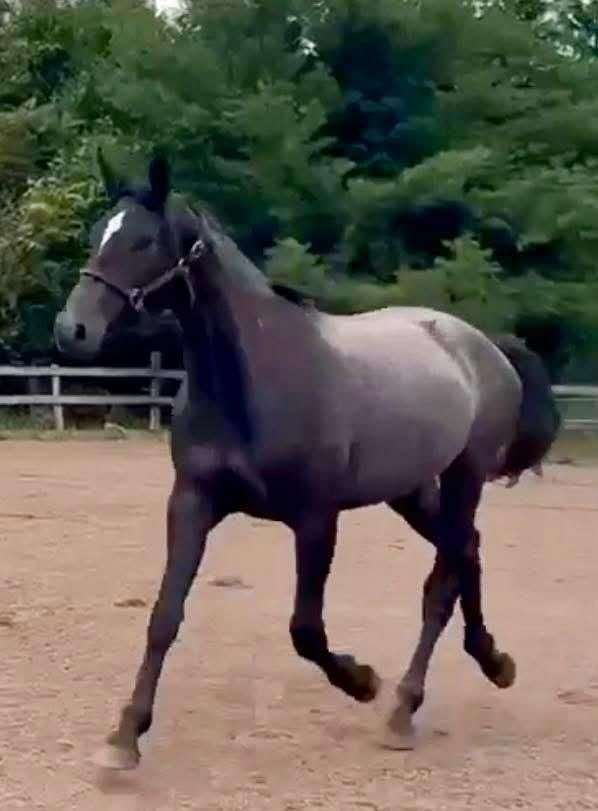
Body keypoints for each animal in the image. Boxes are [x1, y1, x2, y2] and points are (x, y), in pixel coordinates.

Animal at [54, 153, 561, 769]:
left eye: (144, 240)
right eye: (96, 234)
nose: (71, 330)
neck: (257, 379)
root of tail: (483, 346)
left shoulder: (317, 519)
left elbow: (306, 629)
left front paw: (362, 680)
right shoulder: (192, 501)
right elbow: (164, 616)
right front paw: (124, 737)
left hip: (466, 475)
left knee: (443, 581)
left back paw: (402, 707)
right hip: (411, 490)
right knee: (467, 553)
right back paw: (493, 662)